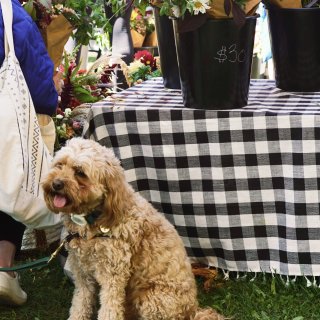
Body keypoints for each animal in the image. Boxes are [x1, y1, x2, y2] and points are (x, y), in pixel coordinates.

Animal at [42, 138, 225, 320]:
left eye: (80, 172)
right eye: (59, 164)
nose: (56, 184)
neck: (93, 219)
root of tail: (192, 309)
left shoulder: (113, 276)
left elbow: (109, 311)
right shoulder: (82, 274)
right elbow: (80, 306)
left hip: (151, 300)